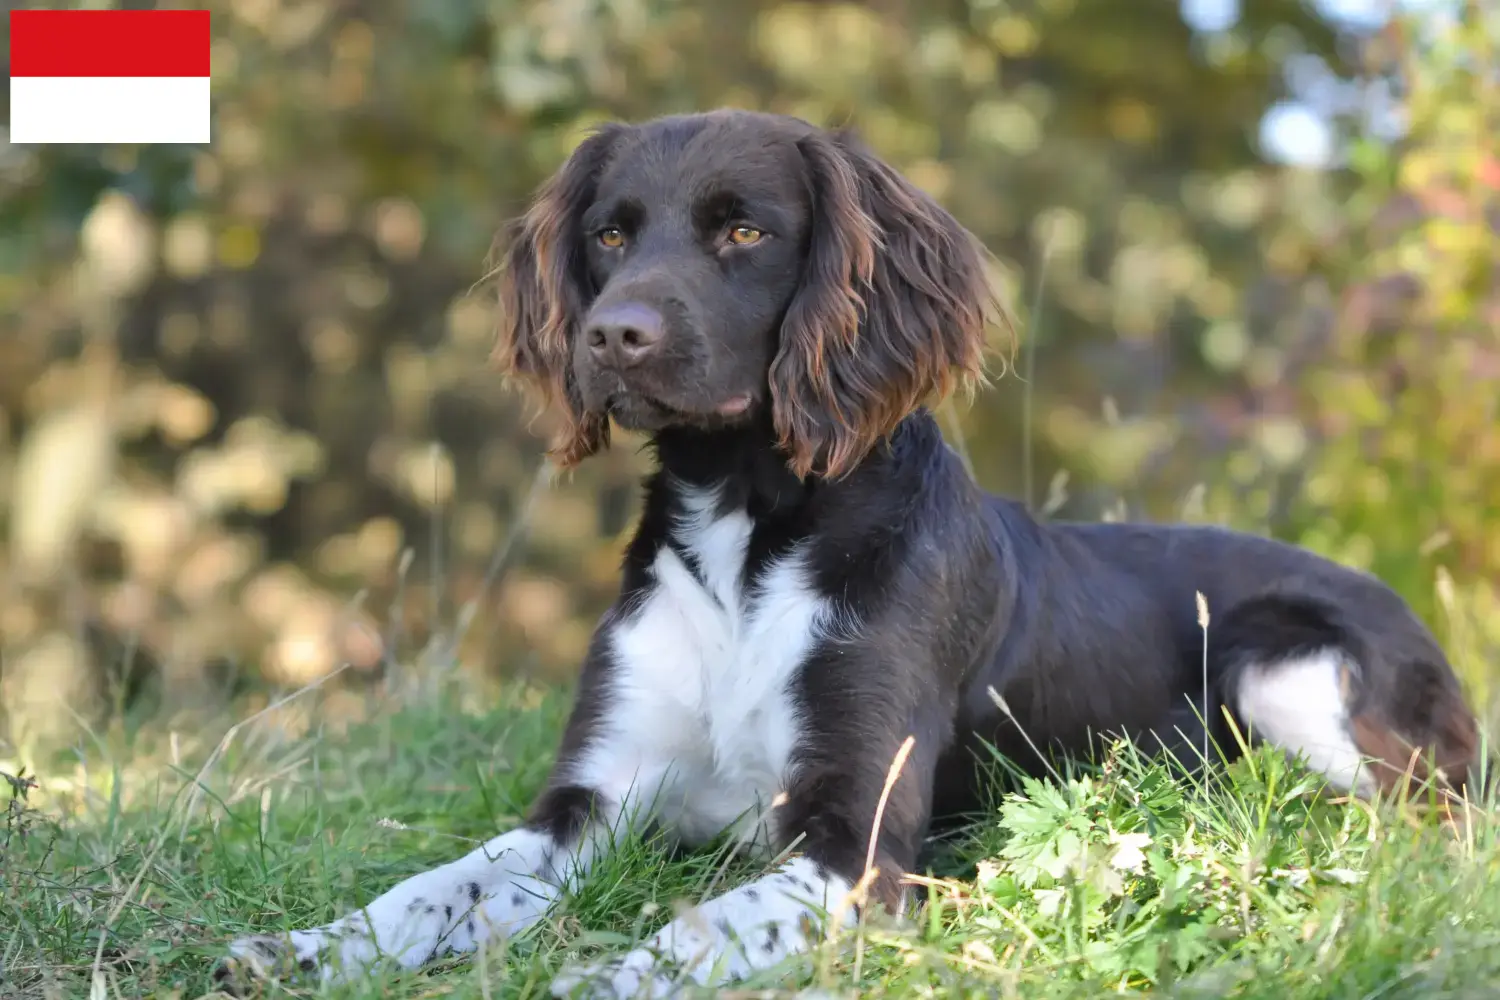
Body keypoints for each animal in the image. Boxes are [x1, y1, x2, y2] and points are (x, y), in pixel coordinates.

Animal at [217, 109, 1482, 995]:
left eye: (745, 230)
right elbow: (438, 885)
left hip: (1285, 660)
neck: (745, 528)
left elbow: (692, 928)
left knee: (1433, 827)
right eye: (610, 235)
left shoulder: (853, 841)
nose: (612, 335)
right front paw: (307, 945)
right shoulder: (590, 799)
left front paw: (599, 977)